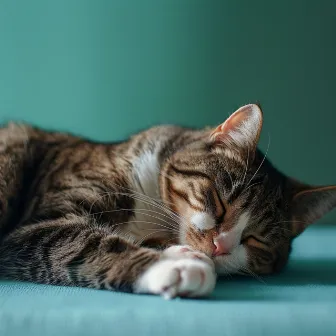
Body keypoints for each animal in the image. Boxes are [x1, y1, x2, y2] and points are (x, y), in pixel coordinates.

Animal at [0, 103, 336, 300]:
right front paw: (171, 265)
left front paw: (179, 252)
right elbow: (83, 241)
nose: (220, 246)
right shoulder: (39, 223)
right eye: (220, 202)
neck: (152, 210)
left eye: (256, 239)